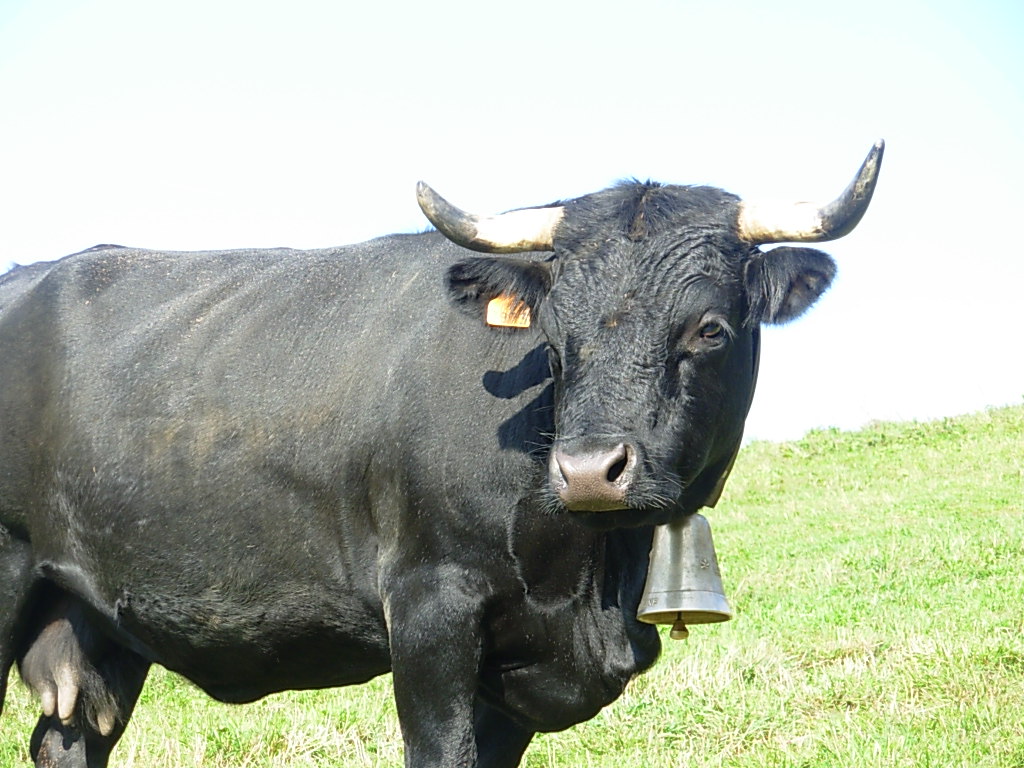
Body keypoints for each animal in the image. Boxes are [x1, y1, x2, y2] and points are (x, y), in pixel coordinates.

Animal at [0, 141, 883, 767]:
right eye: (551, 334)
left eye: (709, 329)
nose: (589, 472)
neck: (591, 580)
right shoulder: (430, 611)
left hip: (90, 622)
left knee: (71, 736)